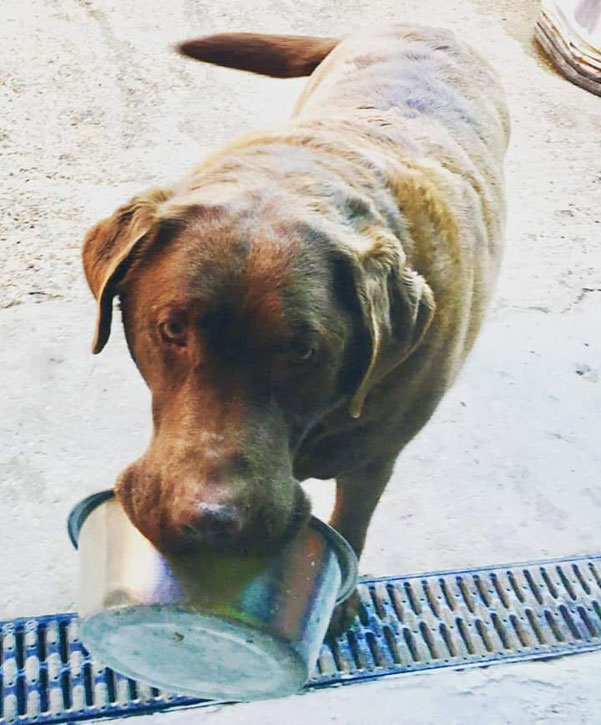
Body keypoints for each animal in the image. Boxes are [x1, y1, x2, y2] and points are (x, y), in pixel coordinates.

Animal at [82, 25, 508, 628]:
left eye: (303, 352)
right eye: (172, 330)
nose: (209, 520)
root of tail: (429, 25)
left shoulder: (375, 458)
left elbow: (353, 522)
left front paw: (341, 602)